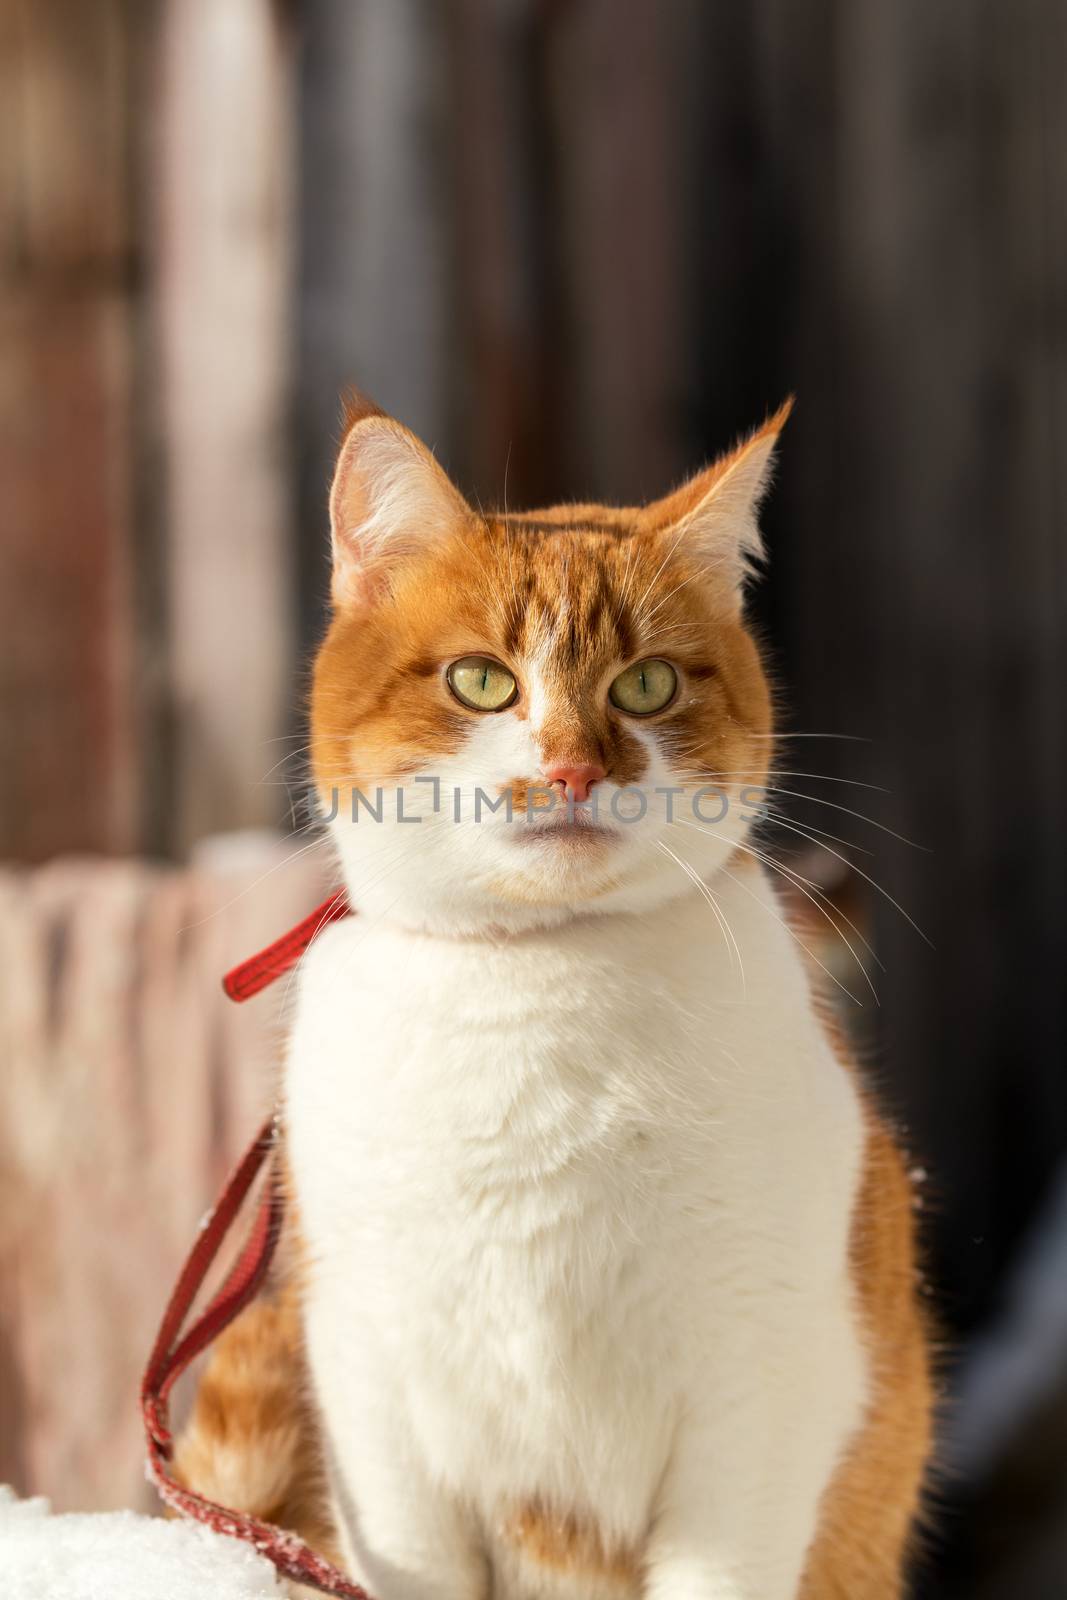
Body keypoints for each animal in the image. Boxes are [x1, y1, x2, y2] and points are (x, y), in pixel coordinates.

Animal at [173, 400, 927, 1600]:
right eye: (481, 681)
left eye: (646, 685)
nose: (573, 767)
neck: (532, 981)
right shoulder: (377, 1406)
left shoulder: (756, 1396)